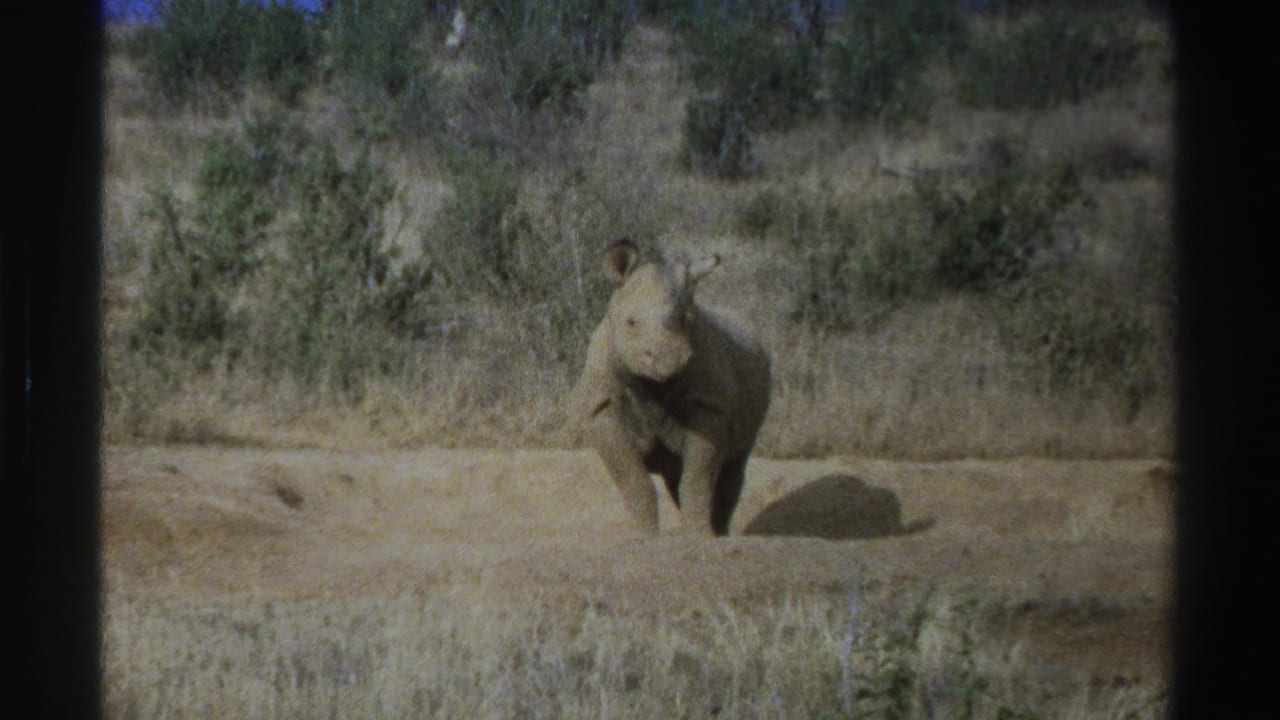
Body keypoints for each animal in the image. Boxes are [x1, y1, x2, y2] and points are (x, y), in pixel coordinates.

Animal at [570, 239, 771, 536]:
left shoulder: (709, 404)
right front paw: (643, 537)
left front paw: (699, 537)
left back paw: (719, 534)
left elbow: (697, 479)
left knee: (733, 465)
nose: (669, 358)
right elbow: (632, 478)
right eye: (631, 322)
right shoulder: (601, 407)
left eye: (688, 320)